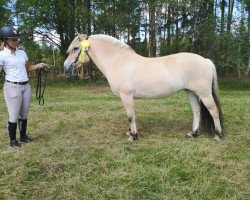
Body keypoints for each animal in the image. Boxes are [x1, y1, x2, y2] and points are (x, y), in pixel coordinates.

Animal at [63, 34, 224, 141]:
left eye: (76, 48)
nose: (66, 67)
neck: (118, 62)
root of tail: (206, 61)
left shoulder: (126, 95)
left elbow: (130, 115)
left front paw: (133, 136)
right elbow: (130, 115)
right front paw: (130, 133)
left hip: (204, 93)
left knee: (213, 110)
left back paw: (217, 135)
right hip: (191, 92)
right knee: (196, 111)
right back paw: (193, 133)